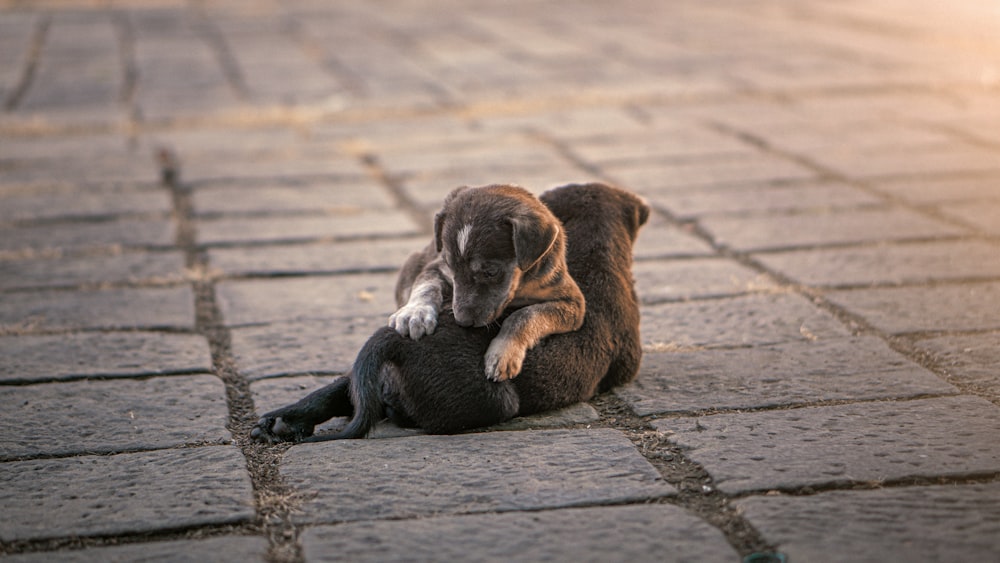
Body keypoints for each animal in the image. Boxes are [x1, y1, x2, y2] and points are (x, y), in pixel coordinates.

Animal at [384, 185, 584, 384]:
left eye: (491, 272)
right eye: (450, 265)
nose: (462, 322)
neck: (519, 286)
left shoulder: (572, 302)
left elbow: (525, 315)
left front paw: (502, 355)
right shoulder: (436, 266)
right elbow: (426, 287)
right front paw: (414, 313)